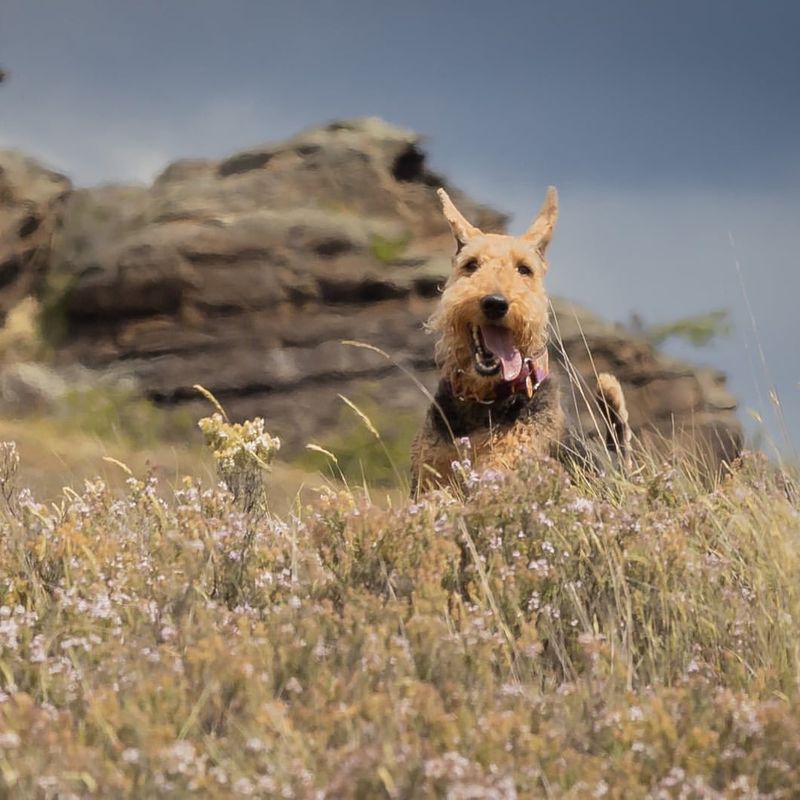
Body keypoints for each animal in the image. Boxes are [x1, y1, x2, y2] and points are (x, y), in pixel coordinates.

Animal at [412, 186, 632, 494]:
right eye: (471, 265)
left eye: (524, 269)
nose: (495, 303)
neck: (484, 401)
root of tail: (616, 462)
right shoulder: (427, 483)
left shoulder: (503, 469)